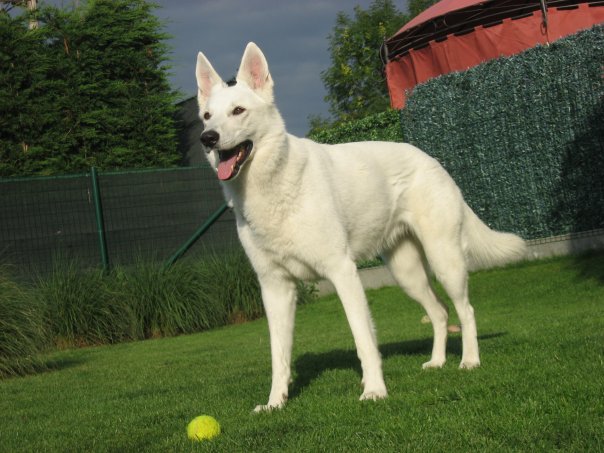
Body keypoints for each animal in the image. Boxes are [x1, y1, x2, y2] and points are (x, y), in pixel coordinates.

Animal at [196, 42, 528, 410]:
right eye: (207, 116)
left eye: (238, 110)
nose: (207, 138)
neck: (272, 185)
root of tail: (431, 159)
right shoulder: (275, 288)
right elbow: (278, 354)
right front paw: (275, 403)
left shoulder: (343, 273)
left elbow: (363, 338)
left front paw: (374, 390)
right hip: (407, 274)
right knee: (440, 313)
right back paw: (437, 361)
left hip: (445, 261)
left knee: (465, 310)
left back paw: (469, 361)